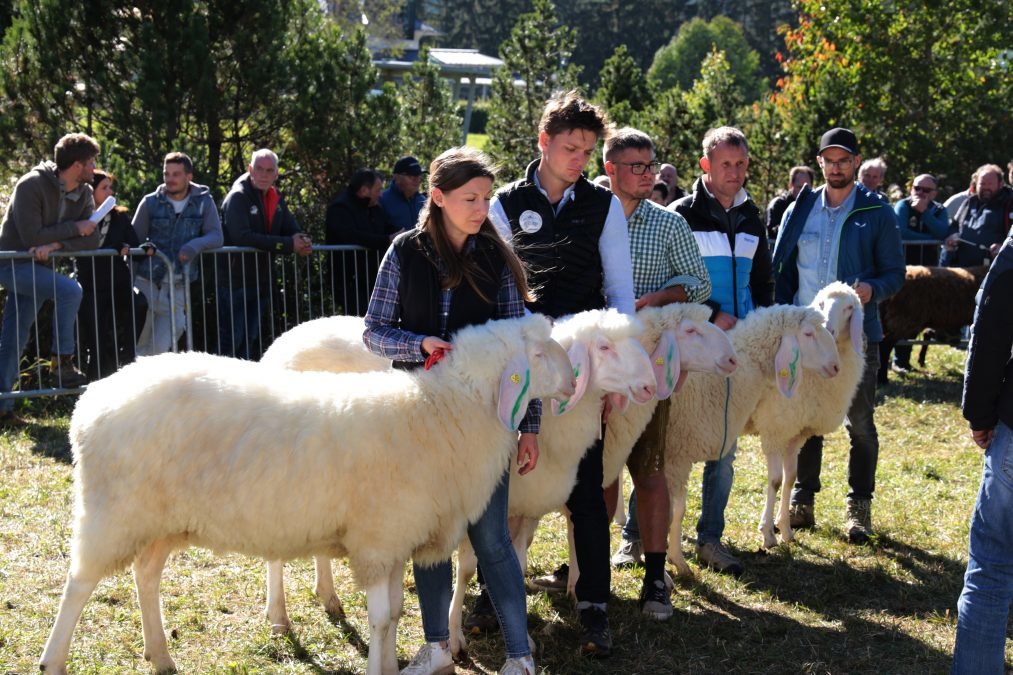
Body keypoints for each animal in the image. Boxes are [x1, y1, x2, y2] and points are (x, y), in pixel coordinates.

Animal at [41, 312, 579, 672]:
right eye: (536, 355)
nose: (574, 383)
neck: (439, 413)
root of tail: (93, 399)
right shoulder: (377, 541)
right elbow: (381, 619)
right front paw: (378, 667)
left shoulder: (395, 541)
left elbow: (395, 614)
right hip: (113, 511)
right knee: (78, 584)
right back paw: (55, 659)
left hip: (161, 519)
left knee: (145, 574)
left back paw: (160, 654)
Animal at [607, 304, 838, 571]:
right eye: (809, 334)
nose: (836, 367)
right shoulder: (676, 455)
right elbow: (673, 510)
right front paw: (674, 560)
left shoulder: (679, 456)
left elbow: (678, 508)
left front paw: (676, 557)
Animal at [745, 277, 863, 547]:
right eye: (821, 304)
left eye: (849, 308)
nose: (829, 328)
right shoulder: (774, 429)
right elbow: (775, 481)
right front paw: (767, 533)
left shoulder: (795, 434)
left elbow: (790, 478)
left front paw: (785, 529)